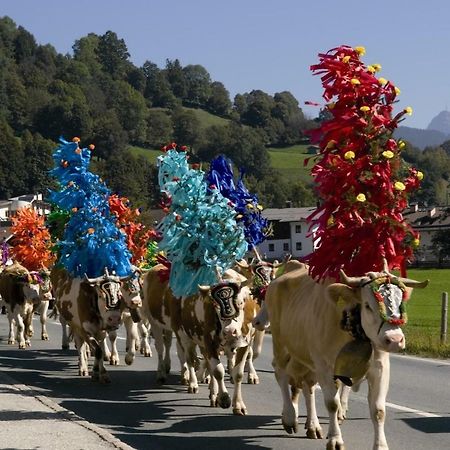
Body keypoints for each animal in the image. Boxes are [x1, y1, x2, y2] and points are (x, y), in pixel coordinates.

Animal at [268, 260, 428, 450]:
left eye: (400, 302)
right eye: (367, 305)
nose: (395, 340)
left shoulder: (380, 368)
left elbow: (379, 410)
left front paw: (380, 445)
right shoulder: (324, 366)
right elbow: (332, 403)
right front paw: (335, 439)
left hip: (307, 357)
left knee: (309, 386)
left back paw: (313, 425)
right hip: (281, 344)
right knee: (281, 374)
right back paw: (290, 418)